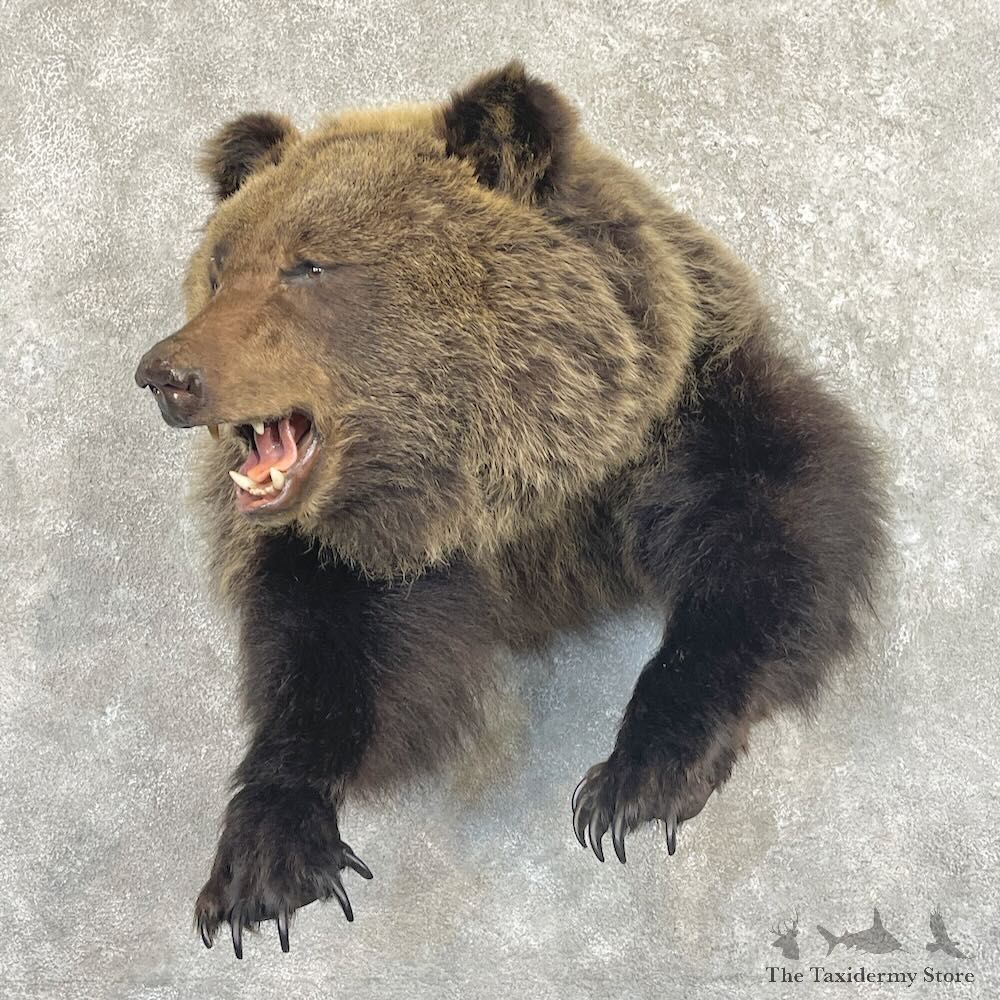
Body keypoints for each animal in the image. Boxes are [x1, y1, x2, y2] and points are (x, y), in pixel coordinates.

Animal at [134, 62, 886, 959]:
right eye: (217, 269)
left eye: (308, 265)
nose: (167, 374)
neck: (510, 495)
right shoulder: (356, 559)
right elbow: (328, 667)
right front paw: (263, 861)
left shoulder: (689, 418)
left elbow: (769, 548)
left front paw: (635, 780)